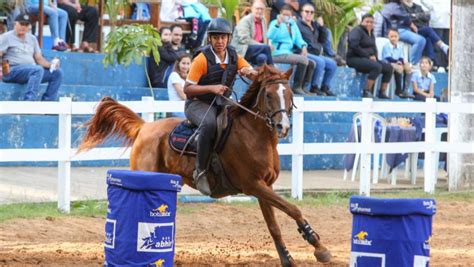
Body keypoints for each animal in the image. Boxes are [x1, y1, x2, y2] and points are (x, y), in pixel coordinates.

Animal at [79, 64, 332, 266]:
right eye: (268, 95)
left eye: (288, 93)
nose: (283, 126)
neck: (254, 135)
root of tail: (145, 127)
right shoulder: (253, 185)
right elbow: (293, 208)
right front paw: (318, 246)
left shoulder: (264, 187)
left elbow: (274, 226)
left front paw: (289, 258)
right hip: (144, 172)